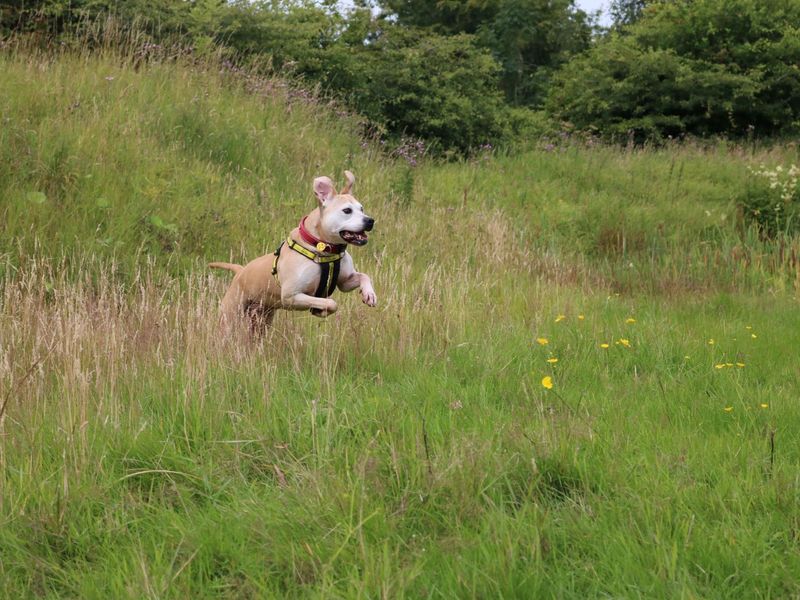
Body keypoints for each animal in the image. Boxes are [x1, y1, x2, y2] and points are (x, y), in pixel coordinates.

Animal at [209, 171, 378, 336]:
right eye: (347, 211)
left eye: (361, 209)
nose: (370, 220)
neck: (323, 249)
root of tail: (240, 271)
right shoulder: (291, 296)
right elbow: (331, 303)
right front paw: (320, 310)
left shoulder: (345, 282)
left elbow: (364, 276)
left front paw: (369, 294)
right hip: (230, 318)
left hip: (261, 320)